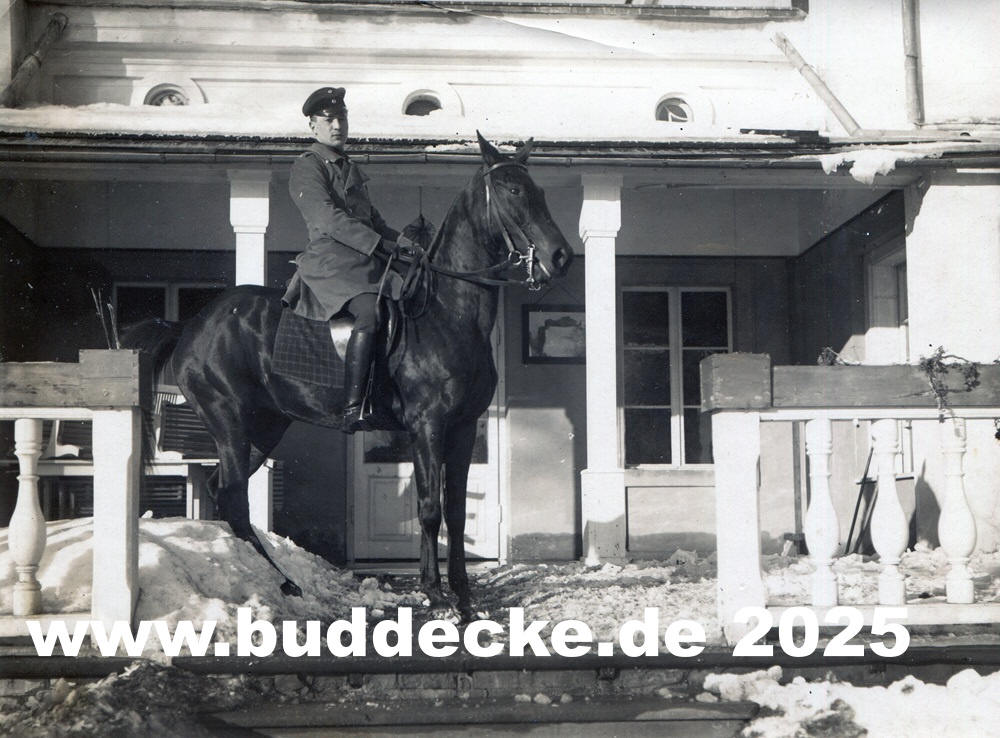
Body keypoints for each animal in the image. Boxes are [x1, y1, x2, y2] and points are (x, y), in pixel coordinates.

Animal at [122, 133, 574, 620]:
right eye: (513, 191)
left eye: (541, 191)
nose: (561, 256)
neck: (448, 313)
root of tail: (191, 324)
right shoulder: (427, 426)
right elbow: (429, 509)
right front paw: (435, 594)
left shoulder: (464, 427)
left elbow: (454, 511)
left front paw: (464, 597)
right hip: (229, 422)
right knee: (236, 499)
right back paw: (282, 581)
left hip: (264, 428)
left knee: (222, 493)